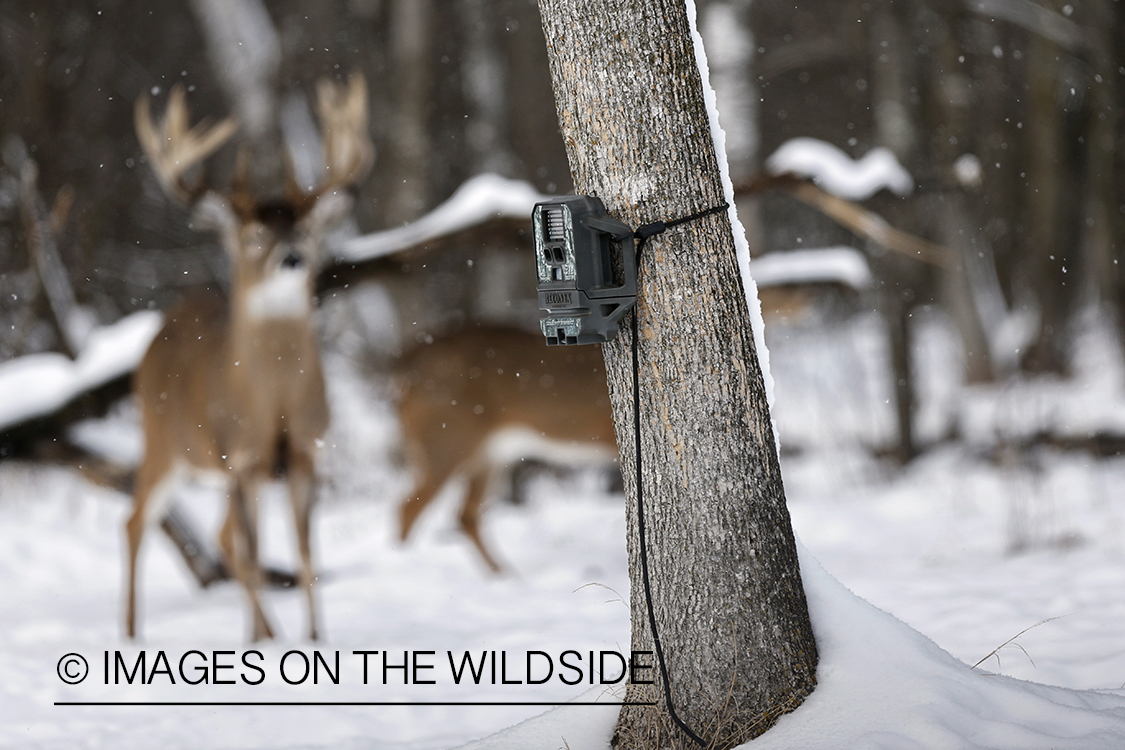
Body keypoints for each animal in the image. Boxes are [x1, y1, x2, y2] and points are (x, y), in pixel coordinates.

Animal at [126, 74, 373, 638]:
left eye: (303, 230)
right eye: (255, 234)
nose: (293, 258)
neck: (273, 400)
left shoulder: (304, 450)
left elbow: (305, 554)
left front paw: (313, 639)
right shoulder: (240, 454)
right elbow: (258, 553)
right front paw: (265, 645)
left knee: (223, 540)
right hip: (162, 440)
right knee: (137, 522)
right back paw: (131, 633)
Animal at [396, 326, 621, 571]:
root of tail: (406, 369)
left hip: (488, 453)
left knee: (465, 514)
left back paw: (503, 573)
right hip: (448, 439)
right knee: (408, 506)